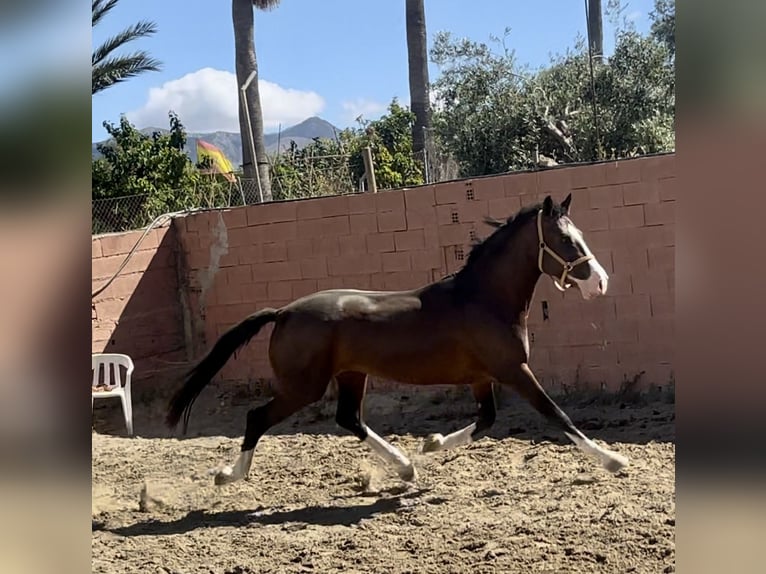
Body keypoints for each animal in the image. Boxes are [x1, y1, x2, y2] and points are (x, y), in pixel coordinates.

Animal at [168, 196, 632, 488]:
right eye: (566, 240)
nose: (602, 283)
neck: (484, 299)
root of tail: (283, 312)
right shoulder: (513, 371)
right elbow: (557, 415)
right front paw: (614, 461)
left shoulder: (483, 378)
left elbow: (486, 421)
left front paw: (432, 443)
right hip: (304, 387)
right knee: (257, 418)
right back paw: (229, 475)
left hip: (351, 376)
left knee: (349, 419)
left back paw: (406, 467)